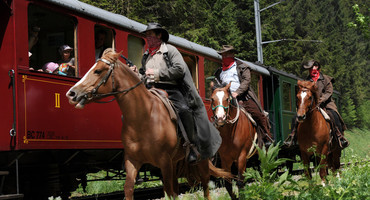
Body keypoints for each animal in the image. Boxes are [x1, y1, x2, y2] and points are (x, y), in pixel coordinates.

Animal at [64, 48, 231, 200]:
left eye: (98, 71)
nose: (71, 93)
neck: (144, 117)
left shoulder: (165, 162)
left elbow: (169, 192)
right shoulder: (133, 161)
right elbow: (129, 188)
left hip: (201, 160)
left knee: (205, 186)